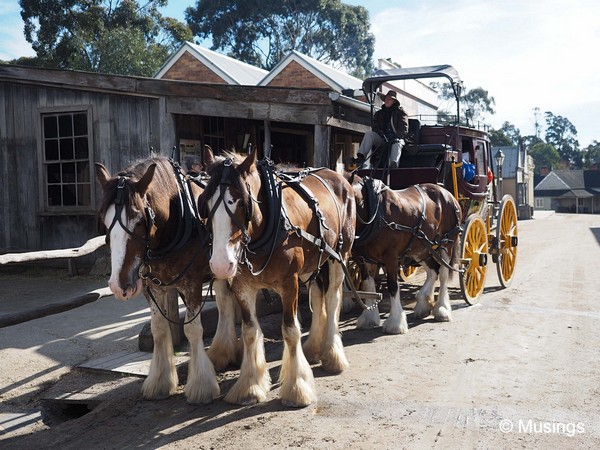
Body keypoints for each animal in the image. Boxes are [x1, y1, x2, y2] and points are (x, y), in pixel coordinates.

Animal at [95, 156, 238, 404]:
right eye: (105, 219)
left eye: (139, 220)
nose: (118, 285)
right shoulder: (151, 285)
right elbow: (159, 328)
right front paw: (159, 382)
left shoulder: (191, 283)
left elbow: (192, 330)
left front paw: (201, 385)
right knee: (224, 301)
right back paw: (222, 352)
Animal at [200, 149, 356, 408]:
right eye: (204, 202)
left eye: (242, 201)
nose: (221, 264)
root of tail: (339, 176)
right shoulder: (242, 287)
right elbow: (250, 332)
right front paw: (250, 387)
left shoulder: (289, 284)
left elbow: (290, 331)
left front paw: (296, 389)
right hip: (315, 262)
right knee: (317, 296)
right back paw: (314, 347)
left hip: (339, 255)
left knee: (333, 299)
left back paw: (333, 356)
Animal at [346, 174, 464, 332]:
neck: (374, 212)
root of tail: (447, 194)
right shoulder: (362, 259)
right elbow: (367, 285)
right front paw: (369, 319)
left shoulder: (390, 257)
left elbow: (392, 286)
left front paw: (395, 323)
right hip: (421, 247)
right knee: (433, 271)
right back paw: (423, 303)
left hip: (447, 242)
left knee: (444, 273)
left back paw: (442, 310)